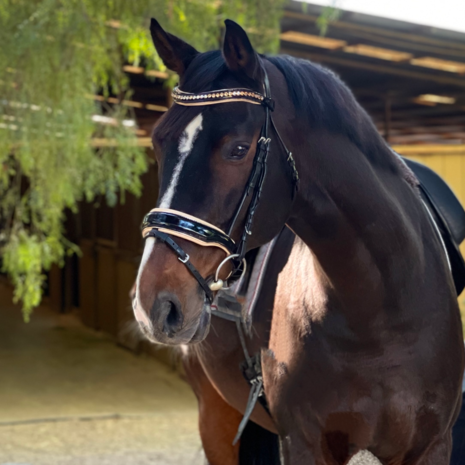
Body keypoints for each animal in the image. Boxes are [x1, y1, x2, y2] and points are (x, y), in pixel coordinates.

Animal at [131, 18, 464, 464]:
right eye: (158, 141)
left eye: (238, 149)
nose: (154, 303)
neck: (381, 310)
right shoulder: (303, 442)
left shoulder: (431, 444)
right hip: (215, 415)